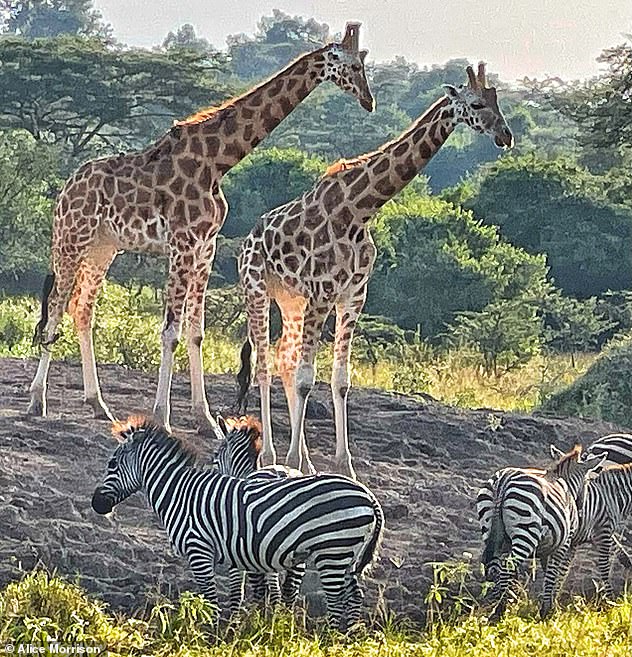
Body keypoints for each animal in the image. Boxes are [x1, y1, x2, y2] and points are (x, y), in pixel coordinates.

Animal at [27, 23, 376, 434]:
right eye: (353, 66)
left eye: (363, 64)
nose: (369, 101)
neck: (218, 161)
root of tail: (65, 189)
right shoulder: (182, 243)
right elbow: (171, 332)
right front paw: (162, 418)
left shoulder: (204, 246)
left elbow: (196, 332)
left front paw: (206, 418)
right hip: (72, 238)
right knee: (55, 305)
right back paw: (37, 400)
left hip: (103, 247)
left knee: (82, 309)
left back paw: (98, 405)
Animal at [90, 418, 382, 628]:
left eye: (112, 464)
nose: (96, 504)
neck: (180, 493)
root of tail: (369, 496)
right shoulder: (240, 555)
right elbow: (241, 595)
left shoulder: (200, 551)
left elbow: (212, 600)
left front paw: (209, 637)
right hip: (345, 557)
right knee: (353, 597)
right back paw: (345, 639)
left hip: (333, 552)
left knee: (336, 601)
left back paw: (332, 639)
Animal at [237, 62, 512, 476]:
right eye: (477, 104)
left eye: (497, 101)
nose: (505, 136)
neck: (360, 209)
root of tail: (245, 242)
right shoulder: (323, 293)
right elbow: (306, 379)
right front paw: (293, 462)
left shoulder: (353, 295)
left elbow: (340, 380)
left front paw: (342, 465)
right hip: (257, 289)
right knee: (267, 365)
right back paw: (271, 457)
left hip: (291, 300)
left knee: (284, 359)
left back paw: (305, 460)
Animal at [476, 448, 604, 616]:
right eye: (588, 481)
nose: (581, 512)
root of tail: (503, 480)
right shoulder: (564, 542)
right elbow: (554, 573)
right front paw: (547, 610)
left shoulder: (548, 547)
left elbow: (548, 573)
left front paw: (548, 604)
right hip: (526, 532)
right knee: (507, 567)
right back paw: (499, 609)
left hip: (490, 530)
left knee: (496, 568)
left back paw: (497, 604)